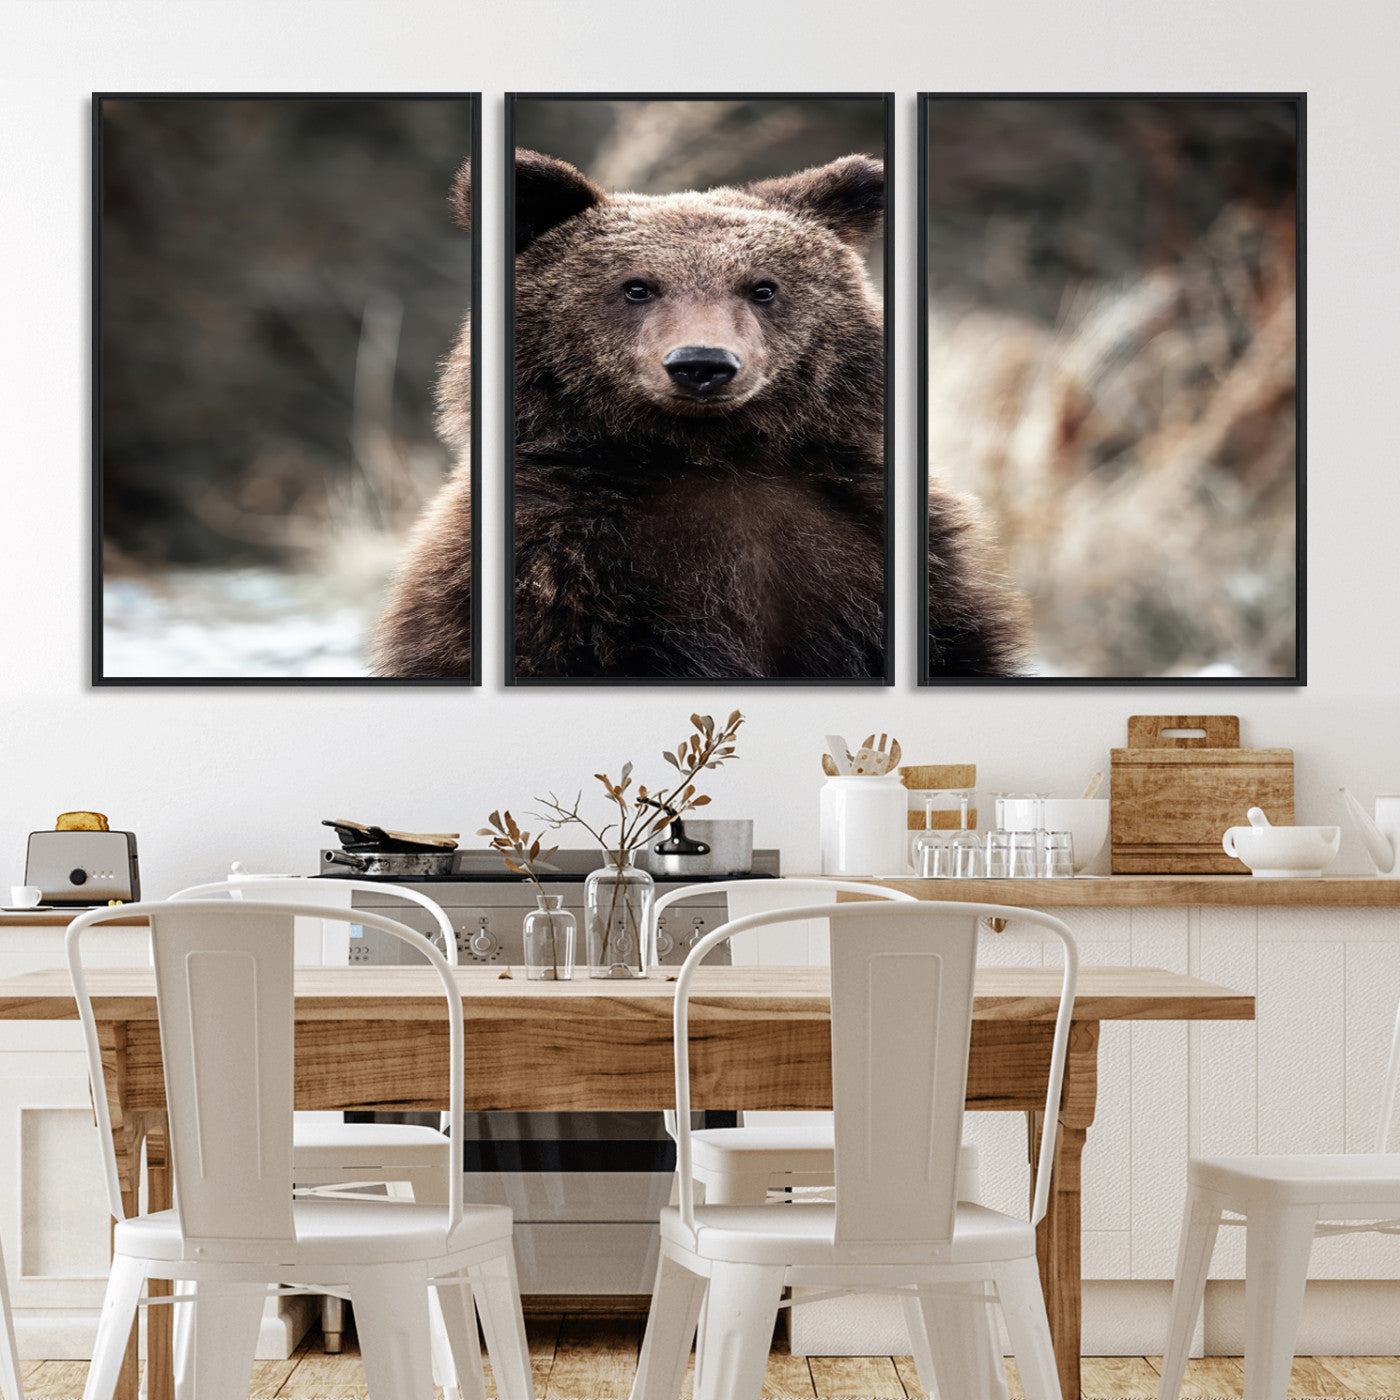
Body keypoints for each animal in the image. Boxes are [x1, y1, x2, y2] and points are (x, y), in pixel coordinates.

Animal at [371, 148, 1027, 680]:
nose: (702, 363)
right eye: (637, 286)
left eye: (763, 287)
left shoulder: (868, 539)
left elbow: (956, 643)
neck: (711, 453)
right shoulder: (558, 563)